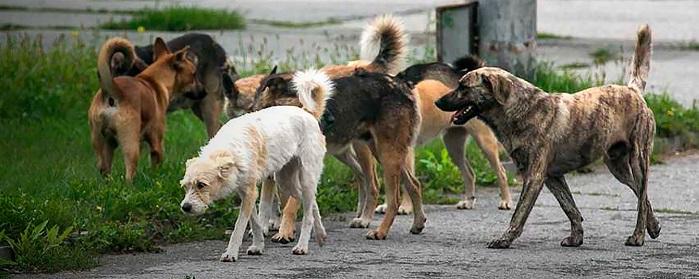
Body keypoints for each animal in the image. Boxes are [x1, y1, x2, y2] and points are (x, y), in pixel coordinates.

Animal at [89, 37, 200, 182]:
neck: (154, 81)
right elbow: (156, 163)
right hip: (130, 144)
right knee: (129, 172)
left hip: (102, 142)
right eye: (194, 74)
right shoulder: (157, 142)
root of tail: (112, 92)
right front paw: (156, 177)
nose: (204, 91)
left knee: (104, 168)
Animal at [179, 69, 334, 262]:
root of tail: (307, 113)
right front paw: (258, 246)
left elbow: (239, 226)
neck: (228, 149)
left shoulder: (250, 193)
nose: (185, 207)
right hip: (285, 181)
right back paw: (320, 235)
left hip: (305, 177)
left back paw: (302, 246)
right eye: (185, 187)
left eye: (201, 185)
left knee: (307, 215)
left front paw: (231, 253)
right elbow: (255, 222)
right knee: (311, 204)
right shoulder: (247, 193)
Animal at [434, 25, 660, 249]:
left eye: (463, 87)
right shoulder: (553, 177)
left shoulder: (534, 176)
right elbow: (570, 208)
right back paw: (653, 225)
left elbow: (519, 213)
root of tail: (632, 90)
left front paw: (505, 239)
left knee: (641, 198)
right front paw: (576, 238)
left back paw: (638, 236)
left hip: (638, 160)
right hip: (617, 166)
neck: (520, 109)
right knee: (642, 195)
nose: (437, 102)